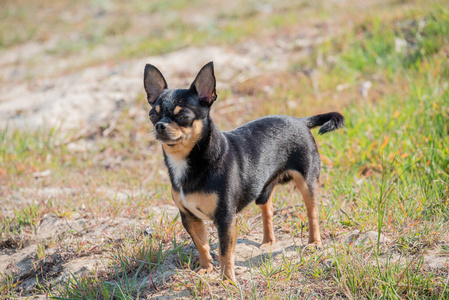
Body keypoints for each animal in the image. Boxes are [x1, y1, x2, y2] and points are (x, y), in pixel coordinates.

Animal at [144, 62, 344, 282]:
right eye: (152, 115)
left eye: (183, 116)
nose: (159, 125)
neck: (187, 160)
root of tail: (300, 121)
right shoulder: (189, 217)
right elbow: (202, 245)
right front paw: (206, 268)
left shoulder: (225, 218)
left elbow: (225, 251)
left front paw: (227, 280)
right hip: (262, 190)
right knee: (268, 210)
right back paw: (268, 241)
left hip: (307, 182)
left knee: (312, 212)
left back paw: (314, 242)